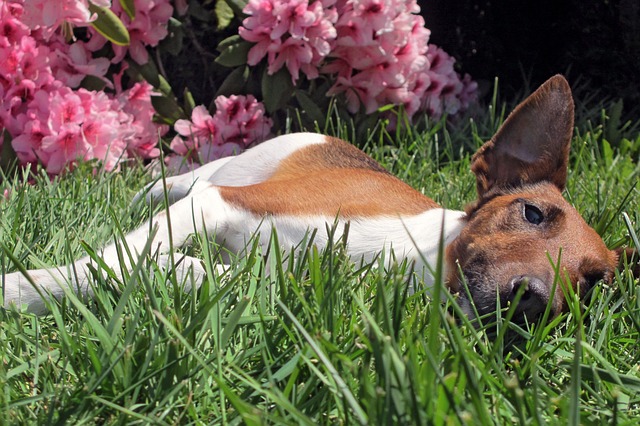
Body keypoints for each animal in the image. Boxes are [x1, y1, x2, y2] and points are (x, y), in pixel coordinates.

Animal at [2, 75, 636, 320]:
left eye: (594, 283)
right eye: (532, 212)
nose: (534, 301)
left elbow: (201, 273)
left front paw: (180, 271)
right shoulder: (221, 204)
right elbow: (106, 261)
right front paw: (26, 288)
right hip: (222, 173)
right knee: (177, 183)